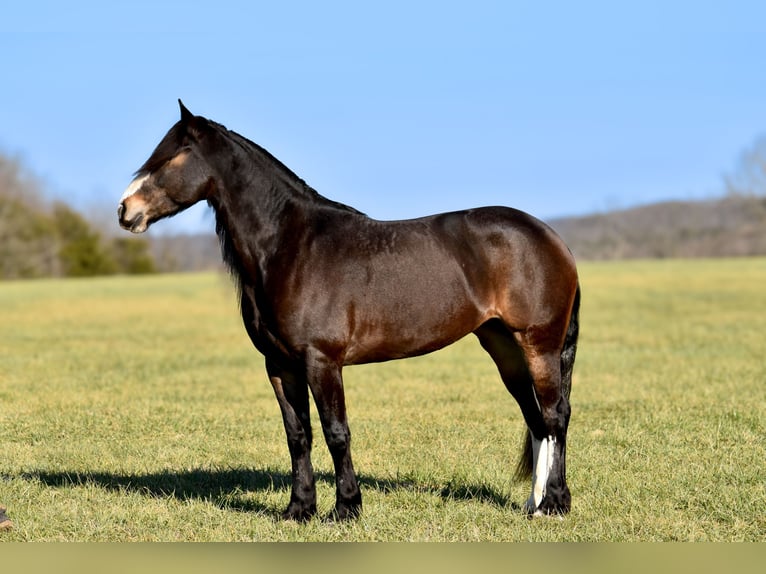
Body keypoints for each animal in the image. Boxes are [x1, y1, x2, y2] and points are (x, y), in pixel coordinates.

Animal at [117, 100, 580, 520]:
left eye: (174, 154)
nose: (125, 210)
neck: (290, 246)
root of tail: (550, 237)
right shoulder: (280, 365)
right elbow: (298, 436)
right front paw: (298, 510)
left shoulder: (322, 361)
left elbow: (336, 432)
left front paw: (346, 508)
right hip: (503, 346)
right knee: (535, 419)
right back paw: (533, 505)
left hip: (538, 344)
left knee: (555, 415)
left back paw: (554, 505)